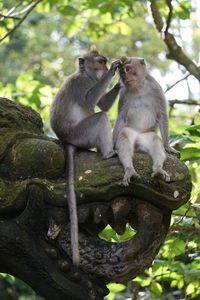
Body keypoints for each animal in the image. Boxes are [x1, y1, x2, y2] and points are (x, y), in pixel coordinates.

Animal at [50, 49, 121, 264]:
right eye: (100, 62)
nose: (105, 68)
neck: (86, 75)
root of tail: (67, 140)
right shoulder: (82, 84)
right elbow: (91, 102)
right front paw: (115, 70)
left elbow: (103, 103)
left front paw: (121, 81)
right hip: (82, 134)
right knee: (99, 119)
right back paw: (108, 153)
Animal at [112, 56, 180, 186]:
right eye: (122, 72)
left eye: (127, 69)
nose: (125, 77)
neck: (139, 87)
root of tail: (138, 142)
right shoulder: (123, 93)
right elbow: (121, 117)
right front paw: (112, 147)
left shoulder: (156, 88)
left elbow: (162, 114)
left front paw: (168, 147)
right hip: (132, 134)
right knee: (124, 136)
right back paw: (130, 170)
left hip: (145, 137)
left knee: (154, 140)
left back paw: (158, 170)